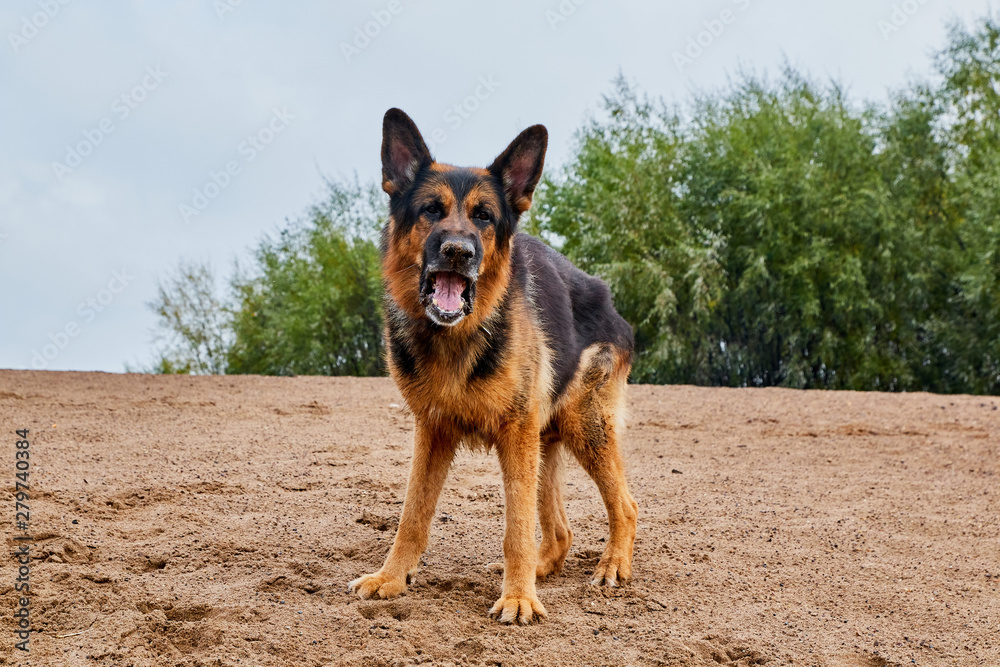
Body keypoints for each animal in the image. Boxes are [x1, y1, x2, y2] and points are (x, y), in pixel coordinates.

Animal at [348, 107, 636, 624]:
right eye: (431, 210)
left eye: (484, 216)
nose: (458, 252)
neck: (454, 338)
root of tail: (607, 299)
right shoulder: (433, 431)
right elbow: (412, 515)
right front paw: (391, 579)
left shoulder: (514, 435)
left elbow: (516, 527)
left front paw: (519, 598)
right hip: (545, 441)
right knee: (560, 532)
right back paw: (543, 567)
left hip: (584, 426)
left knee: (625, 505)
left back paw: (611, 565)